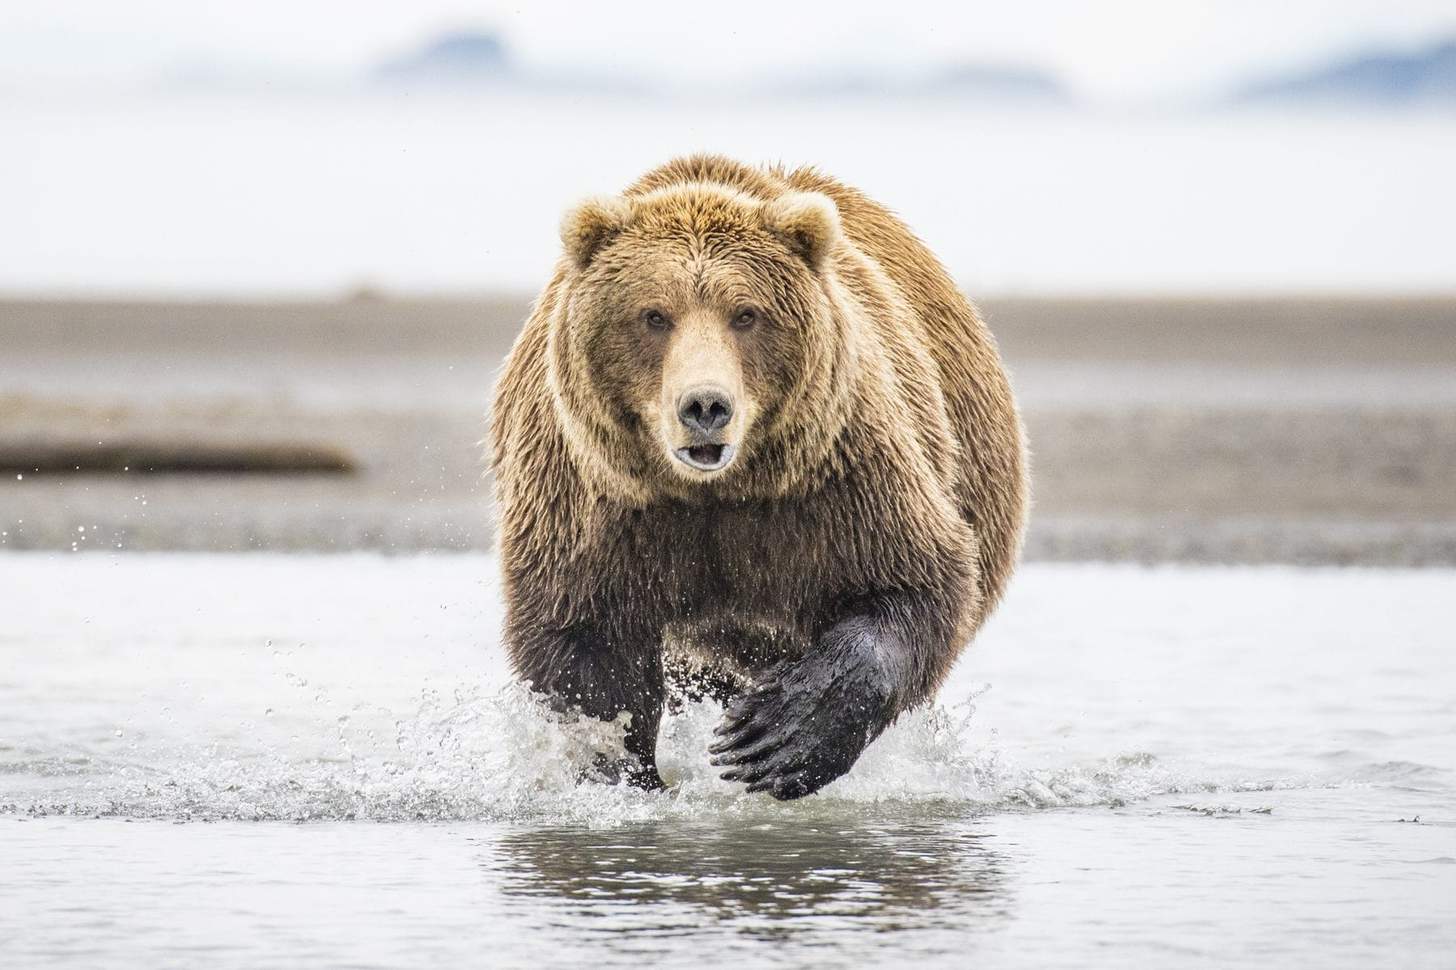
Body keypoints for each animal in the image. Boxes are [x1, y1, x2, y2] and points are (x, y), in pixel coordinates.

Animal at [489, 154, 1028, 800]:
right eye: (653, 315)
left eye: (745, 313)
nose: (704, 406)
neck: (714, 492)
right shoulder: (597, 503)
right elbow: (587, 647)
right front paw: (623, 774)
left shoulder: (836, 478)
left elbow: (913, 580)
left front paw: (776, 738)